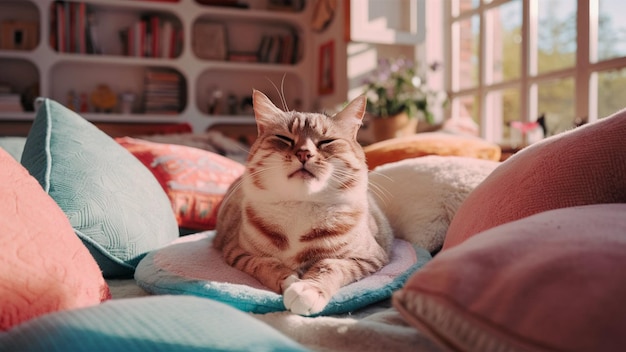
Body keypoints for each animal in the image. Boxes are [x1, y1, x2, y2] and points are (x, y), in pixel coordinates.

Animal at [213, 89, 390, 314]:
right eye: (284, 138)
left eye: (327, 141)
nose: (304, 153)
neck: (300, 204)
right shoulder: (237, 251)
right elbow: (265, 264)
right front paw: (290, 280)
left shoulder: (369, 256)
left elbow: (331, 266)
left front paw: (307, 290)